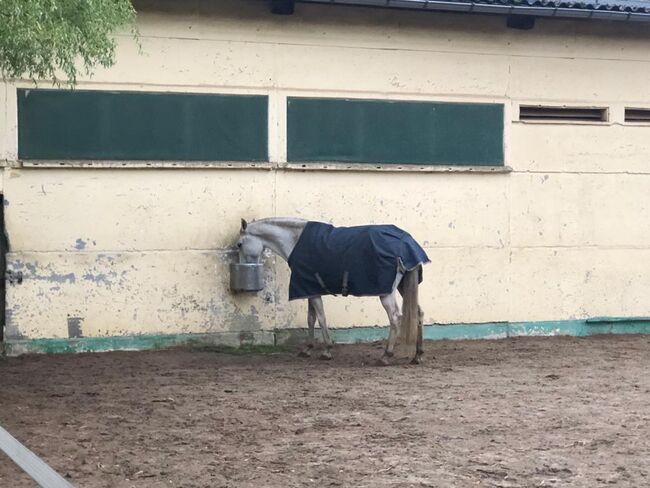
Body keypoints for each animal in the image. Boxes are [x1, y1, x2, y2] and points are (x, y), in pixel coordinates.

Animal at [234, 218, 426, 366]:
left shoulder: (311, 290)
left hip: (386, 292)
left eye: (239, 244)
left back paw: (386, 356)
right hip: (403, 287)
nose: (244, 267)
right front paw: (307, 349)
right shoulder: (309, 290)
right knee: (418, 313)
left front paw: (327, 350)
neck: (296, 240)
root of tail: (406, 242)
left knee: (395, 318)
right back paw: (417, 355)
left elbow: (320, 318)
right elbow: (311, 318)